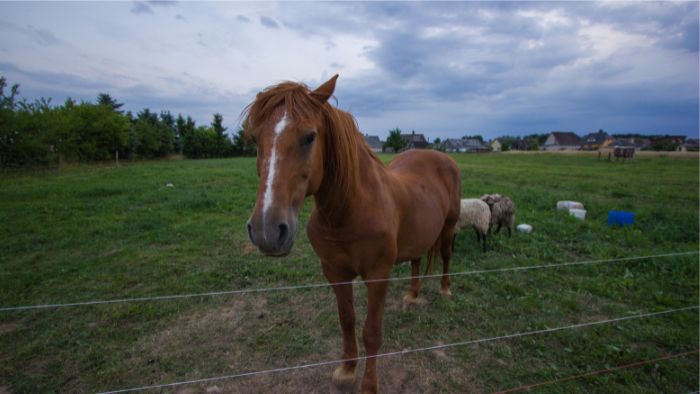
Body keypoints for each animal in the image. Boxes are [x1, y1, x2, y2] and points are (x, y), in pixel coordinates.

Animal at [243, 75, 462, 392]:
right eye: (255, 140)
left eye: (310, 137)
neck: (348, 213)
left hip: (449, 225)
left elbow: (371, 332)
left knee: (445, 255)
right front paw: (347, 370)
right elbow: (346, 320)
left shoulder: (378, 275)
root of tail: (441, 157)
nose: (267, 230)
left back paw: (445, 289)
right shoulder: (335, 273)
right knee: (416, 260)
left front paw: (369, 385)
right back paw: (412, 295)